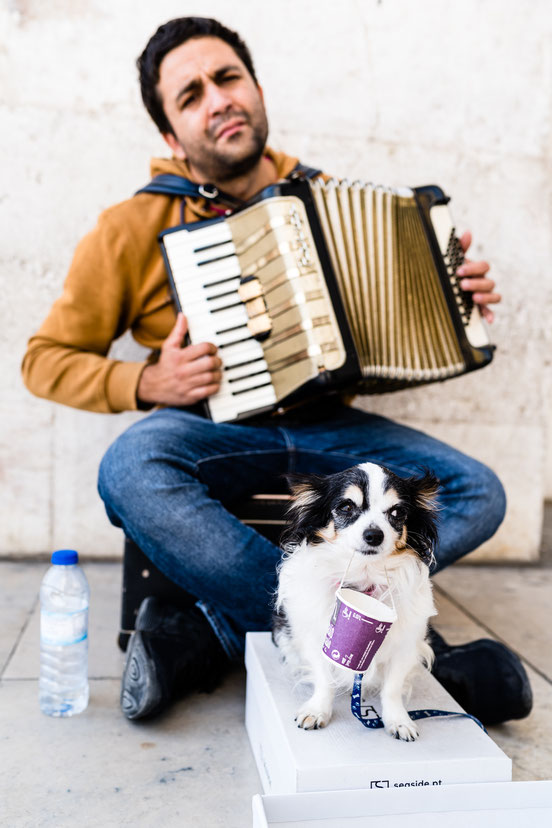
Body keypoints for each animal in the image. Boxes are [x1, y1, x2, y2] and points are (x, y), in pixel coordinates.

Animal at [274, 462, 440, 740]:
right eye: (346, 507)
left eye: (397, 513)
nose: (374, 534)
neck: (364, 577)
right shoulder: (317, 638)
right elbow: (324, 678)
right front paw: (318, 710)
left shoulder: (406, 645)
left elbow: (392, 688)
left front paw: (398, 720)